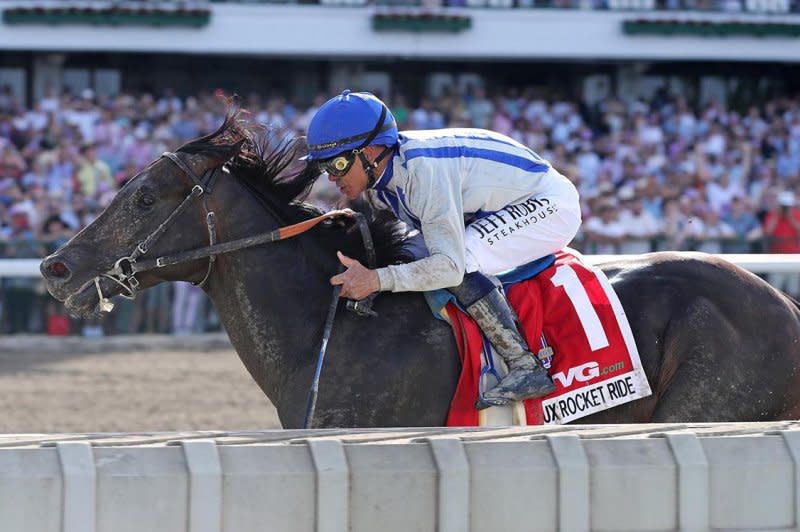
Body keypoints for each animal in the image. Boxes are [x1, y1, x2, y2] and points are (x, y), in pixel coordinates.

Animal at [39, 111, 800, 428]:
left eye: (143, 197)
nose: (55, 267)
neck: (329, 327)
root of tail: (781, 304)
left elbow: (455, 263)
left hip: (712, 405)